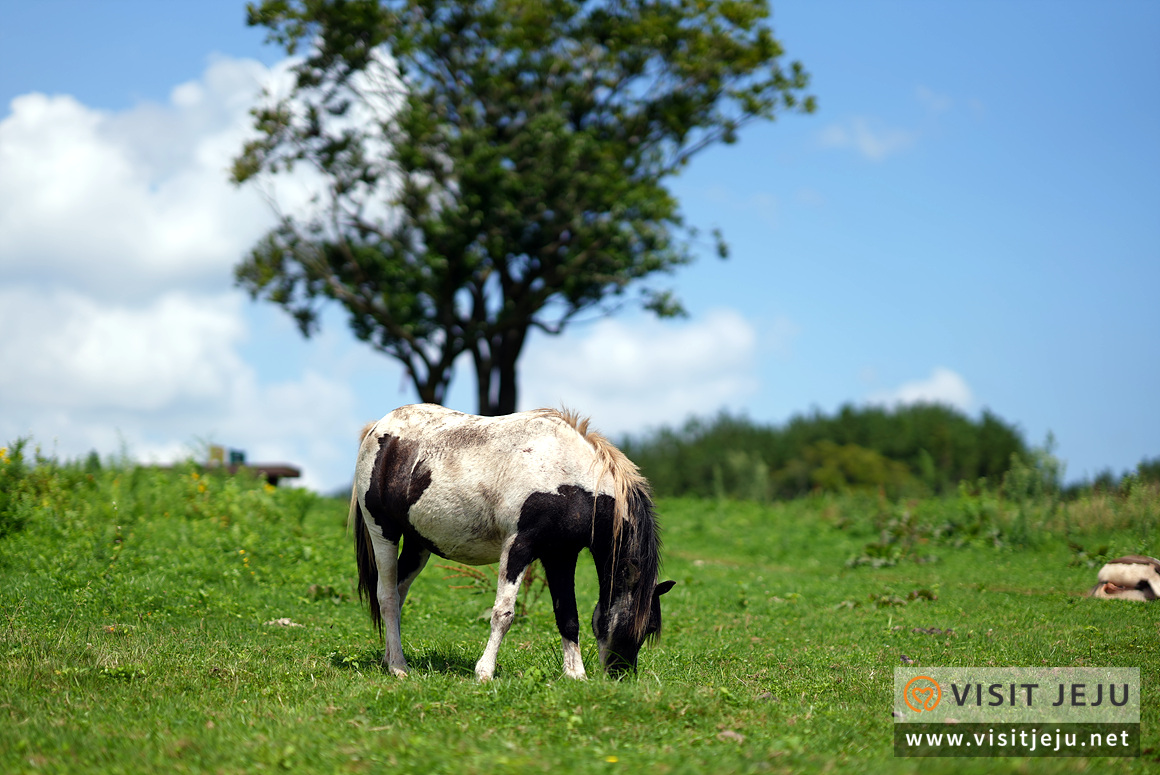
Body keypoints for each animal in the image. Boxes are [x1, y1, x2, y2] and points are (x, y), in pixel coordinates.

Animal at [345, 403, 672, 682]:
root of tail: (377, 428)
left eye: (650, 627)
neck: (568, 477)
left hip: (418, 544)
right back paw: (399, 667)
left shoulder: (561, 554)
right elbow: (503, 614)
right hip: (383, 532)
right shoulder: (519, 546)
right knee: (387, 597)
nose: (620, 676)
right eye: (638, 623)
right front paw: (485, 672)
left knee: (398, 593)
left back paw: (390, 658)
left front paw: (576, 675)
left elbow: (568, 614)